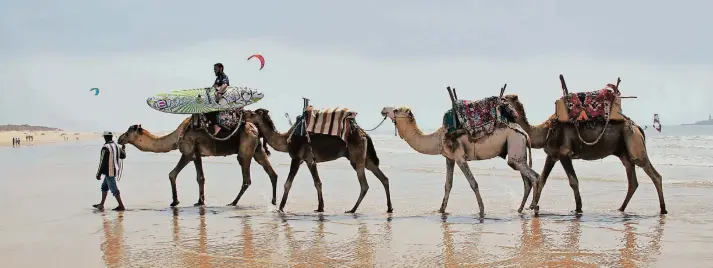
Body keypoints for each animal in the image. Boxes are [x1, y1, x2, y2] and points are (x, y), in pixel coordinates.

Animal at [114, 117, 278, 207]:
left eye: (128, 132)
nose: (119, 138)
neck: (176, 137)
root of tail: (255, 129)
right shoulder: (197, 155)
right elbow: (200, 178)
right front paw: (200, 201)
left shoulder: (188, 152)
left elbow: (172, 174)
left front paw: (175, 201)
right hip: (257, 149)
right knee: (272, 173)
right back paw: (273, 201)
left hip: (245, 149)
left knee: (247, 178)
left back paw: (233, 202)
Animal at [242, 108, 392, 213]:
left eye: (252, 113)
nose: (243, 114)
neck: (286, 139)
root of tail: (364, 134)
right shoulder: (309, 160)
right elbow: (317, 183)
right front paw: (320, 207)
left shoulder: (297, 157)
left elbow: (288, 184)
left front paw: (280, 208)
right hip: (364, 158)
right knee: (383, 178)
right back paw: (389, 208)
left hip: (357, 156)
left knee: (364, 184)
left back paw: (352, 209)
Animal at [378, 105, 540, 217]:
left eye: (396, 110)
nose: (383, 109)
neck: (438, 138)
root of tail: (524, 133)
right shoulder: (449, 158)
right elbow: (448, 185)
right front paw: (441, 210)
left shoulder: (459, 156)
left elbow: (473, 183)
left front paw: (482, 211)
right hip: (518, 152)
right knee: (526, 180)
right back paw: (521, 209)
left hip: (515, 146)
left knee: (535, 176)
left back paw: (535, 207)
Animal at [500, 94, 668, 214]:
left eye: (506, 99)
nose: (498, 99)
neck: (545, 130)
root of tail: (638, 127)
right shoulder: (552, 155)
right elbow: (542, 179)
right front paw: (532, 206)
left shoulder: (564, 153)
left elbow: (573, 181)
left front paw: (578, 208)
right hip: (624, 151)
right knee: (632, 180)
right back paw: (621, 209)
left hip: (634, 142)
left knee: (654, 174)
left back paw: (663, 209)